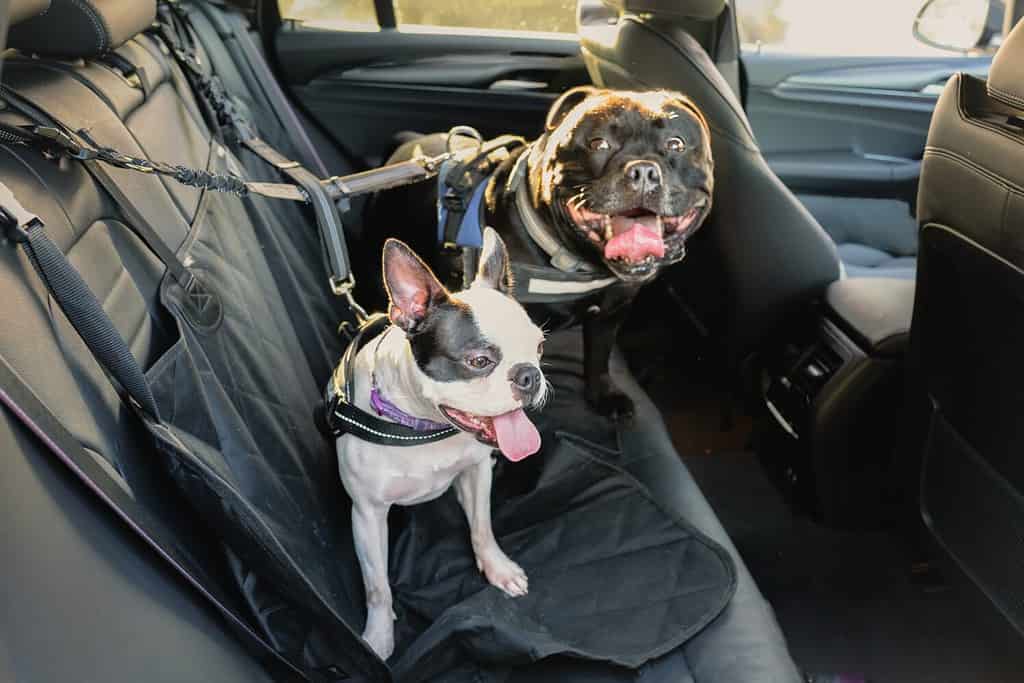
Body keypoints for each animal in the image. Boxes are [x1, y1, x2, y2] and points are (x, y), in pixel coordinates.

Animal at [333, 228, 544, 655]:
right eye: (479, 361)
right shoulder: (367, 514)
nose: (530, 374)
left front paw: (497, 568)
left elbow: (482, 527)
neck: (424, 427)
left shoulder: (476, 473)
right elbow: (377, 586)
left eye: (540, 347)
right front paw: (379, 637)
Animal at [372, 87, 716, 417]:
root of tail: (409, 143)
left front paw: (604, 395)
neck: (580, 262)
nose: (643, 170)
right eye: (598, 143)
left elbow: (599, 355)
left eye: (676, 144)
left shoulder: (611, 313)